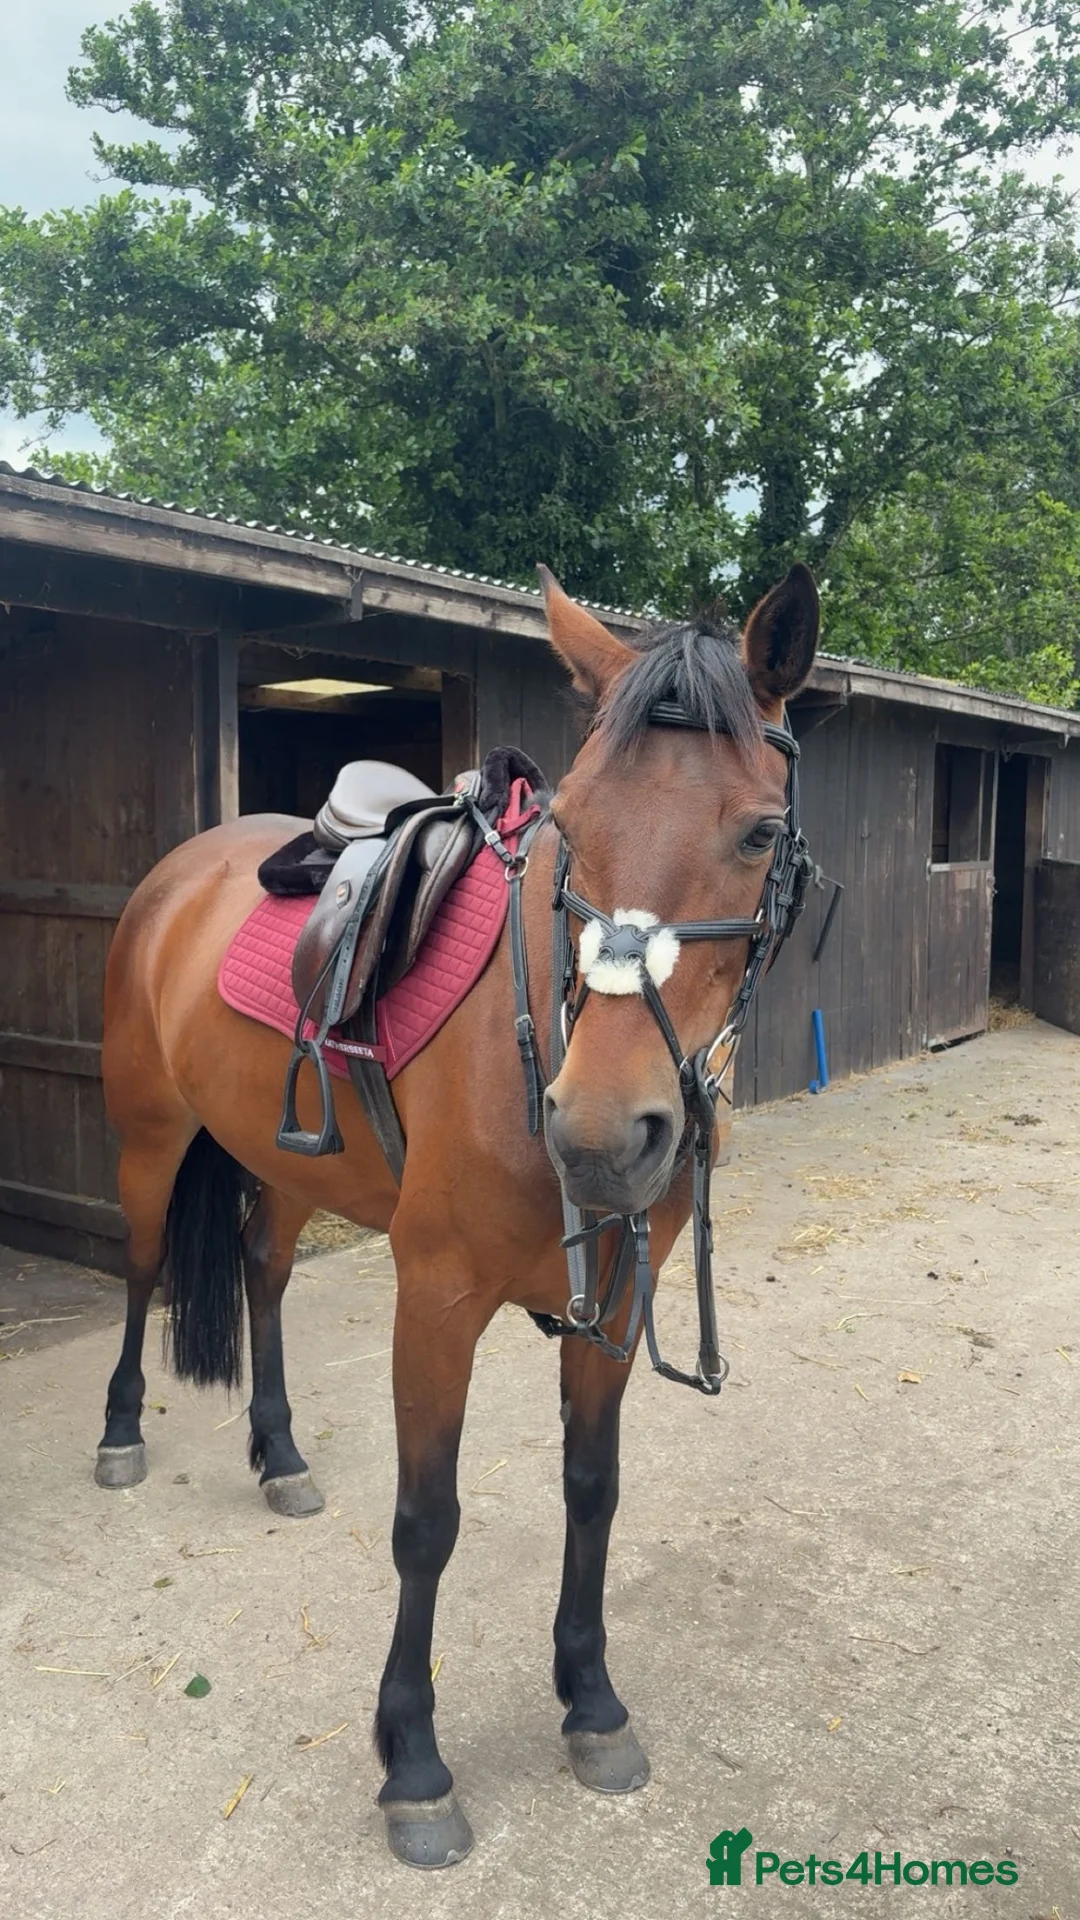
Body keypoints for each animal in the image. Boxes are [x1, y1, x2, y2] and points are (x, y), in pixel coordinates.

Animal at [95, 562, 820, 1867]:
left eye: (756, 831)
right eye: (572, 825)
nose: (599, 1132)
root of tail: (181, 871)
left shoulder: (614, 1303)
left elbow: (594, 1490)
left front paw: (590, 1701)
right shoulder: (434, 1299)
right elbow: (426, 1521)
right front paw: (414, 1764)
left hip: (287, 1165)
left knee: (262, 1271)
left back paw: (280, 1453)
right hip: (149, 1140)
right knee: (141, 1269)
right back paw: (122, 1432)